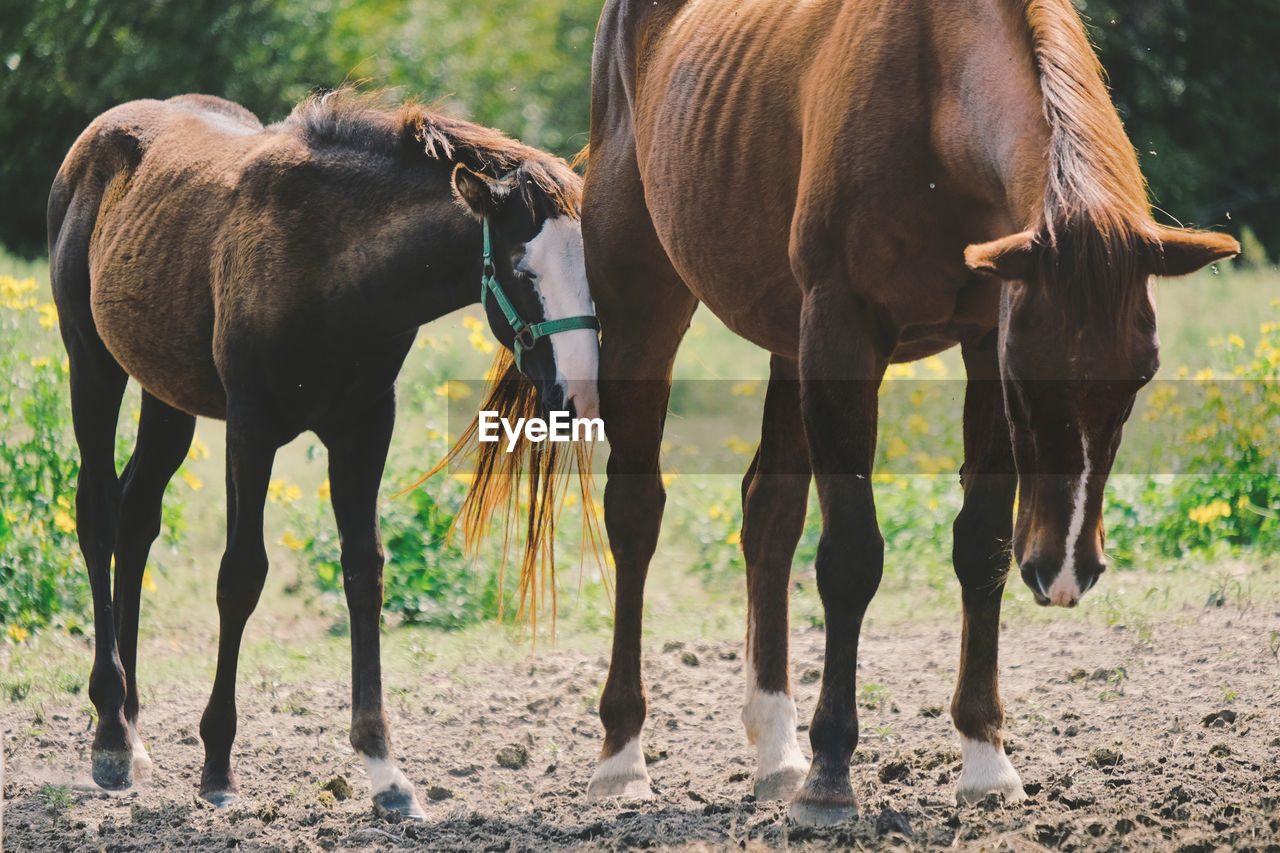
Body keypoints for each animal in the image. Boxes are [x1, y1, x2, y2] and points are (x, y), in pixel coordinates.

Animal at [45, 89, 593, 814]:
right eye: (524, 269)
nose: (578, 397)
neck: (334, 266)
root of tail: (98, 135)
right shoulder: (251, 428)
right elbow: (241, 576)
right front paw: (217, 766)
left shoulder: (364, 428)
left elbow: (365, 571)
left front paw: (386, 772)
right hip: (93, 366)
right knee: (99, 518)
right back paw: (110, 734)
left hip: (167, 394)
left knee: (137, 519)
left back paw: (133, 731)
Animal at [583, 0, 1239, 819]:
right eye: (1027, 379)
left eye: (1141, 377)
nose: (1064, 571)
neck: (936, 97)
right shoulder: (846, 331)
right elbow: (850, 556)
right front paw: (832, 774)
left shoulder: (983, 332)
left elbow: (982, 544)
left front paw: (985, 758)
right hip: (646, 301)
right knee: (636, 512)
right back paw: (624, 755)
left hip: (787, 335)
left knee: (769, 514)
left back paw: (776, 751)